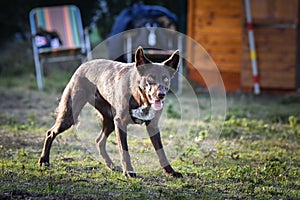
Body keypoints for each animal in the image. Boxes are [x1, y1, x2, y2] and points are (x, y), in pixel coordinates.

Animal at [38, 47, 183, 178]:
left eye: (165, 79)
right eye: (150, 78)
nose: (161, 95)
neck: (138, 95)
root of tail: (82, 66)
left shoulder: (152, 126)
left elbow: (161, 151)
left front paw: (170, 171)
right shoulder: (121, 123)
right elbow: (124, 150)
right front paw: (129, 171)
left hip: (110, 121)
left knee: (99, 141)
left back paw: (111, 165)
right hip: (70, 116)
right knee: (50, 132)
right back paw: (44, 160)